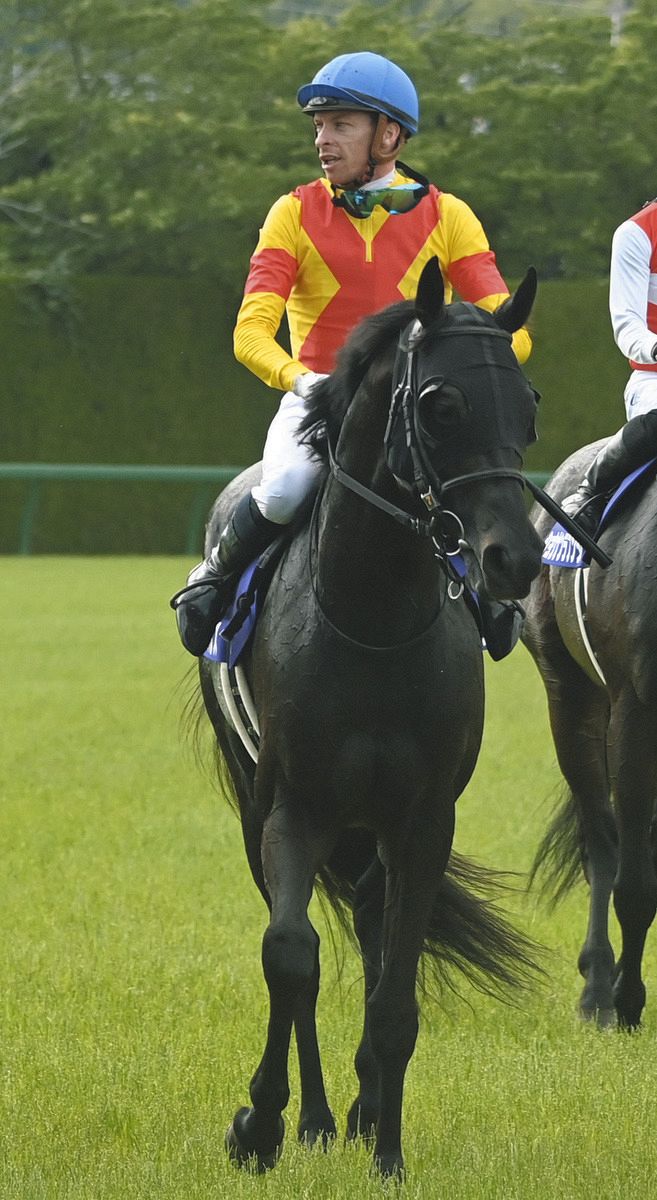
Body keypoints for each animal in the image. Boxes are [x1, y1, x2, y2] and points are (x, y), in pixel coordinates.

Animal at [195, 257, 544, 1179]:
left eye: (526, 401)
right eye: (440, 404)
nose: (515, 558)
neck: (374, 619)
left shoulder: (422, 819)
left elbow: (394, 992)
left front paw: (386, 1150)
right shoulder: (291, 808)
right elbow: (290, 958)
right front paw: (262, 1122)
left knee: (370, 926)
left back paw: (356, 1111)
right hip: (264, 811)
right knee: (310, 950)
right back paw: (316, 1117)